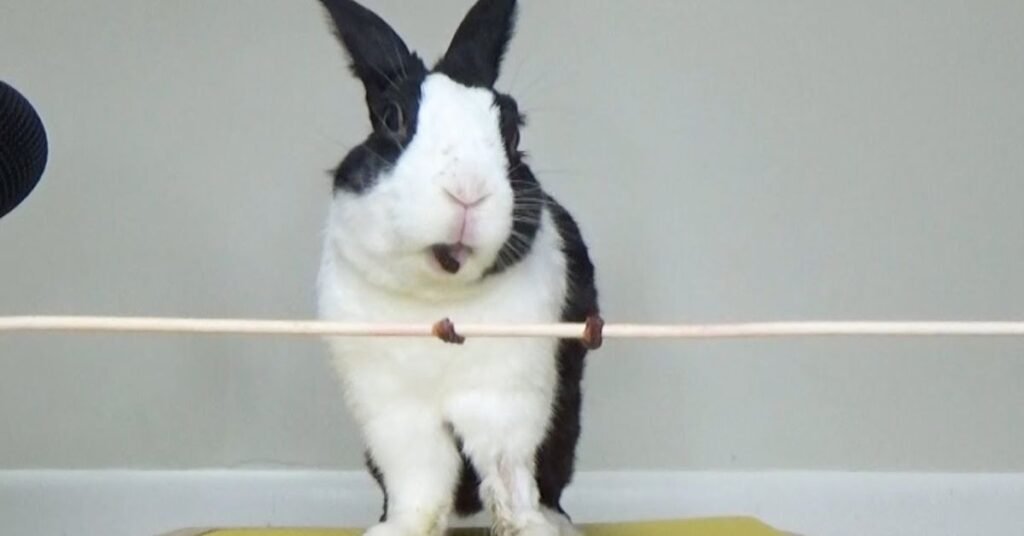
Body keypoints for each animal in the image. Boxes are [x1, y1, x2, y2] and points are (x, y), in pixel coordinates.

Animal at [314, 1, 601, 535]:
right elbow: (419, 483)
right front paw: (400, 528)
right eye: (392, 117)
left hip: (566, 413)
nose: (468, 190)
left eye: (512, 129)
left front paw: (526, 526)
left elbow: (508, 474)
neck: (438, 296)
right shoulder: (395, 416)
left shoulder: (508, 402)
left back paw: (555, 521)